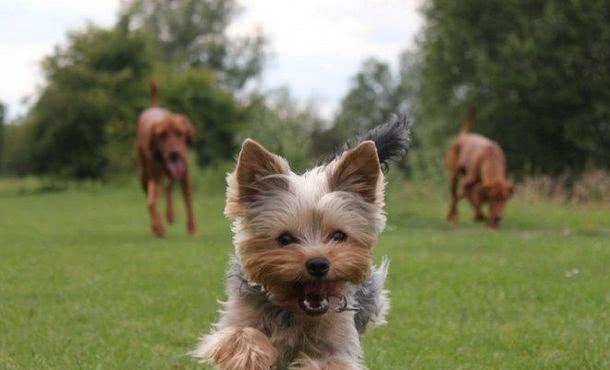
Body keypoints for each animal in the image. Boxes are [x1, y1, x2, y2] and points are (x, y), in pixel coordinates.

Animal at [137, 81, 196, 237]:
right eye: (162, 135)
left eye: (180, 133)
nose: (174, 153)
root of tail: (154, 107)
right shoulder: (154, 178)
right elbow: (151, 202)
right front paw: (158, 227)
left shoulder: (185, 175)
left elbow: (188, 201)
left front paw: (192, 229)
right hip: (144, 173)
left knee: (169, 185)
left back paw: (170, 215)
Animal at [192, 116, 410, 370]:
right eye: (284, 238)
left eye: (338, 236)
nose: (318, 264)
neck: (295, 311)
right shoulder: (236, 317)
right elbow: (241, 335)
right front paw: (255, 355)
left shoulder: (337, 340)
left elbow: (330, 360)